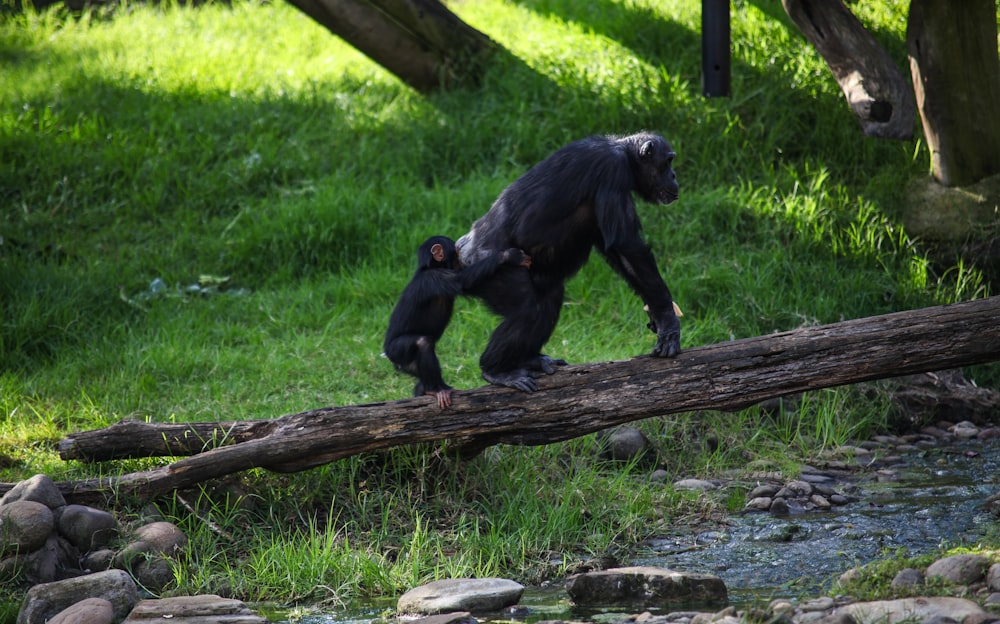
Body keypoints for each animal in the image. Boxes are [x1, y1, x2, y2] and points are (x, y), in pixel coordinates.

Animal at [380, 236, 532, 408]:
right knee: (422, 343)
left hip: (409, 366)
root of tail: (390, 357)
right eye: (456, 253)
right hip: (397, 351)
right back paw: (436, 389)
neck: (430, 267)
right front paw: (510, 256)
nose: (462, 259)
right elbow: (462, 280)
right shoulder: (435, 278)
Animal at [458, 132, 680, 392]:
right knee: (527, 309)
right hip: (489, 268)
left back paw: (528, 360)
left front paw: (655, 314)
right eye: (667, 162)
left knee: (548, 301)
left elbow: (622, 258)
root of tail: (460, 252)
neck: (625, 154)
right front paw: (667, 319)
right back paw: (496, 370)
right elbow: (626, 244)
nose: (674, 175)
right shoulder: (611, 170)